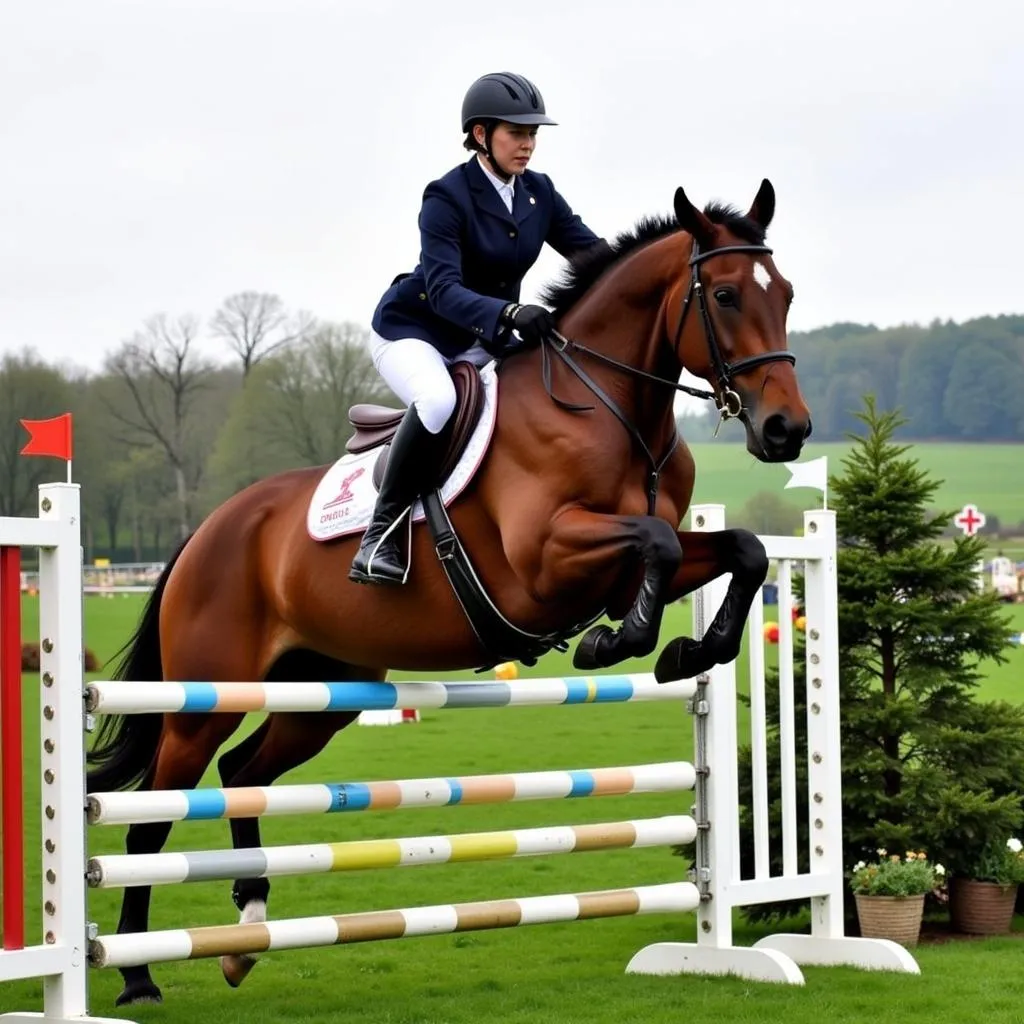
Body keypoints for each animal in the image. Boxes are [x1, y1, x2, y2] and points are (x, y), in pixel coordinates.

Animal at [88, 180, 806, 1003]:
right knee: (155, 814)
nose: (786, 430)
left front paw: (690, 651)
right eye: (723, 295)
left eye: (785, 293)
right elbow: (655, 542)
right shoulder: (545, 561)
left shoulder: (635, 557)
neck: (613, 408)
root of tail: (208, 529)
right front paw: (614, 641)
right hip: (206, 697)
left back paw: (247, 931)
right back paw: (138, 975)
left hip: (322, 692)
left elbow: (740, 550)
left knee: (244, 775)